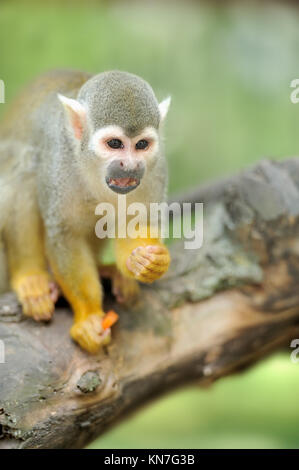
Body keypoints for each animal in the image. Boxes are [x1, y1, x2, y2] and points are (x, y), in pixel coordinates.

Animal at [0, 69, 171, 352]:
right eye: (115, 143)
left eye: (142, 145)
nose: (130, 166)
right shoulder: (59, 163)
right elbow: (65, 234)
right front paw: (89, 318)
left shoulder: (155, 170)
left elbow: (135, 223)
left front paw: (147, 263)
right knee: (24, 166)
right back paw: (31, 278)